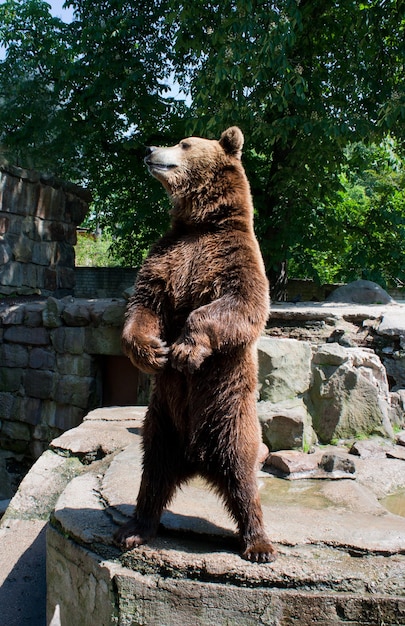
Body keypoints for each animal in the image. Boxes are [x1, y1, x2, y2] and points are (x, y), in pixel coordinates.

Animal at [114, 124, 278, 560]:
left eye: (185, 144)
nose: (149, 148)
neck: (202, 223)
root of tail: (197, 460)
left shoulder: (234, 256)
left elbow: (240, 304)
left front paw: (185, 349)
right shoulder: (166, 256)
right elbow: (144, 303)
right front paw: (153, 352)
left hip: (231, 417)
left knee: (243, 477)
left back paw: (259, 542)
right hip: (161, 423)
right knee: (153, 474)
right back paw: (134, 529)